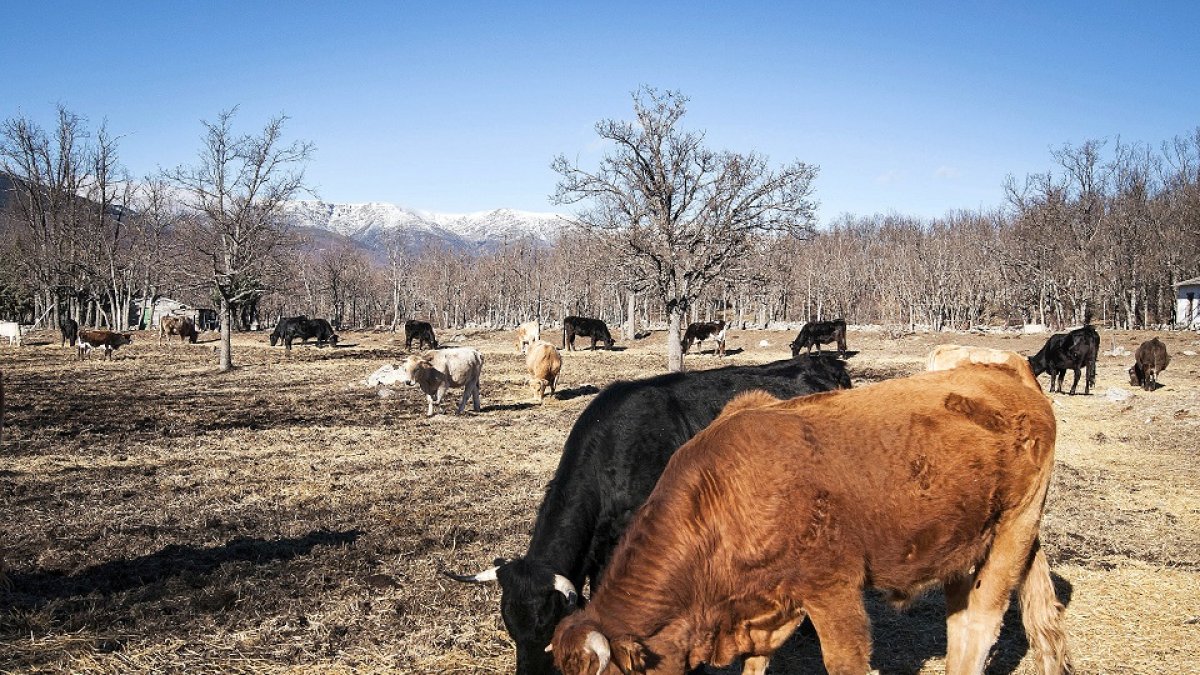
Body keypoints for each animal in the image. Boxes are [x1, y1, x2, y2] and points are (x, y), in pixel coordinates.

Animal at [550, 362, 1070, 675]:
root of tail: (1007, 371)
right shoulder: (761, 612)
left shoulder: (833, 593)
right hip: (963, 544)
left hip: (1013, 532)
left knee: (978, 626)